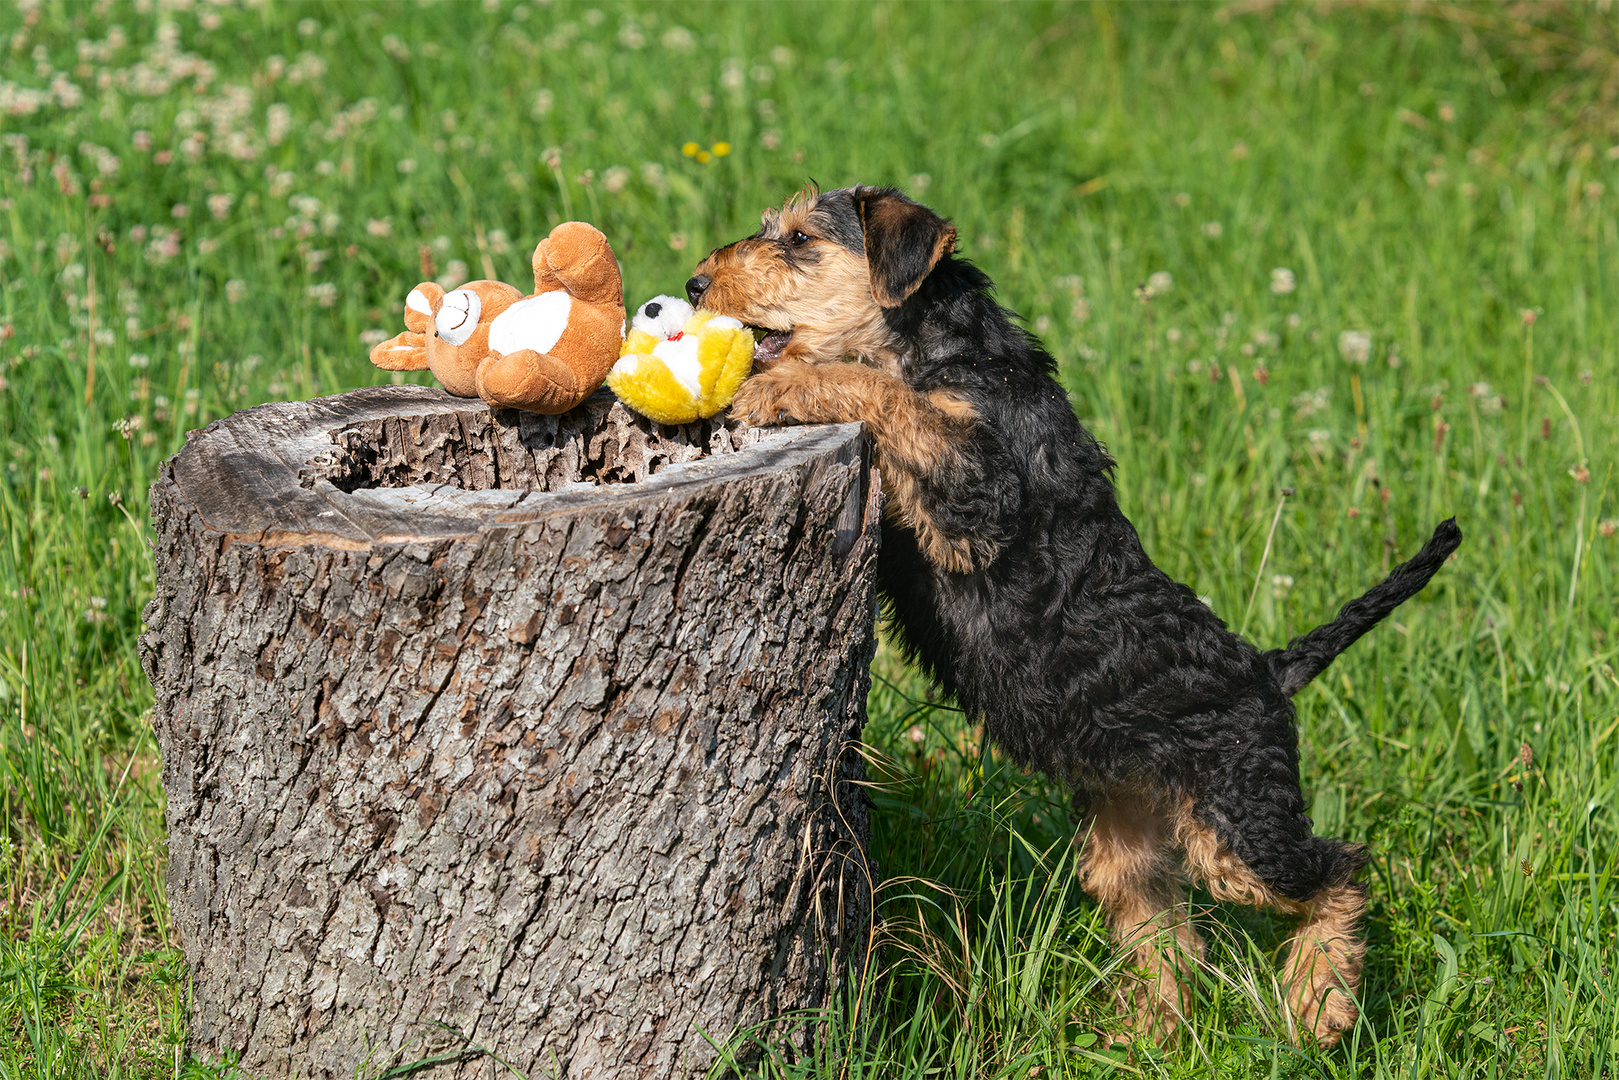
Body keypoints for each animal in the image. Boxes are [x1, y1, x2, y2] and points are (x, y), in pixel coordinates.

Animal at [689, 187, 1463, 1049]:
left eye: (798, 239)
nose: (694, 284)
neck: (942, 349)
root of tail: (1267, 670)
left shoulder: (977, 492)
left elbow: (886, 394)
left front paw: (781, 384)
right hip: (1131, 830)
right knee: (1164, 930)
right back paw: (1146, 1037)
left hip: (1236, 819)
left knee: (1340, 871)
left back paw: (1316, 1006)